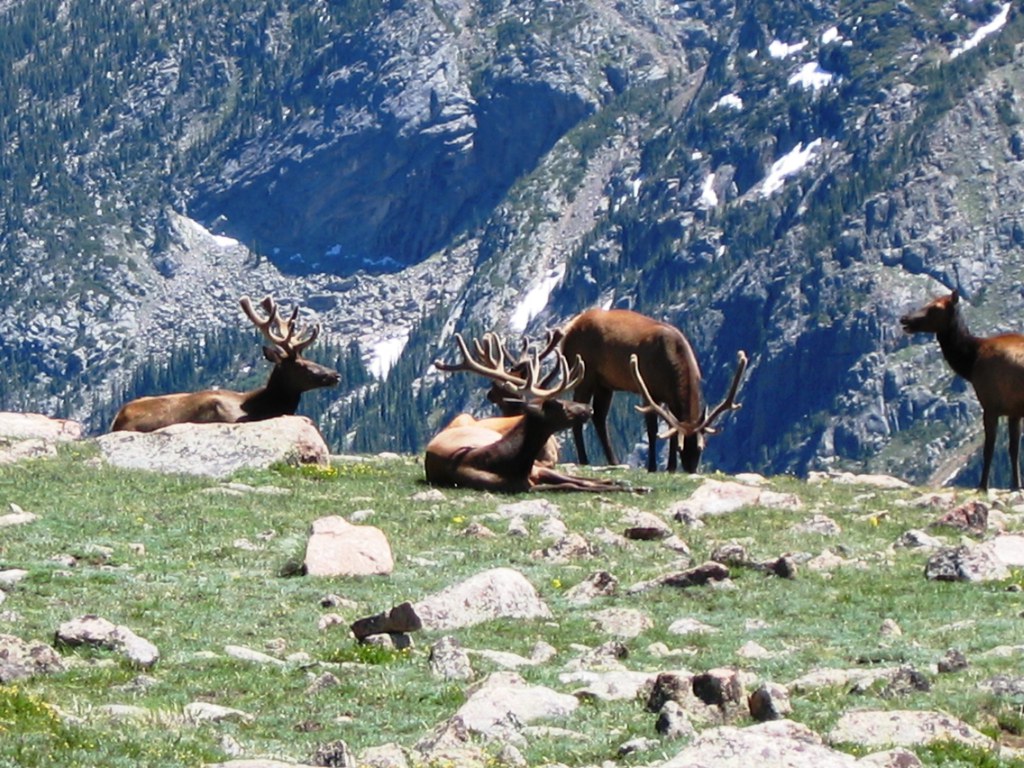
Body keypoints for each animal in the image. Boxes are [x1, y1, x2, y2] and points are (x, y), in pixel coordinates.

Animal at [425, 332, 638, 493]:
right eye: (558, 404)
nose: (589, 408)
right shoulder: (525, 485)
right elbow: (572, 485)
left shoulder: (540, 470)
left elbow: (578, 481)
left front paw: (623, 485)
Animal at [559, 308, 744, 472]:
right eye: (681, 449)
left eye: (701, 447)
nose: (691, 469)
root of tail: (568, 331)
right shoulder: (649, 392)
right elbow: (652, 430)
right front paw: (652, 467)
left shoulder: (671, 399)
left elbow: (672, 430)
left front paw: (671, 467)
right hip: (584, 375)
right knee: (579, 411)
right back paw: (584, 460)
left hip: (604, 383)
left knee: (599, 416)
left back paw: (614, 461)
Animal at [900, 289, 1024, 491]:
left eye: (935, 307)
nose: (904, 318)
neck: (969, 362)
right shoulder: (1013, 411)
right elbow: (1013, 449)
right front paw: (1016, 485)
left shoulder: (990, 405)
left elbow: (989, 449)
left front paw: (982, 486)